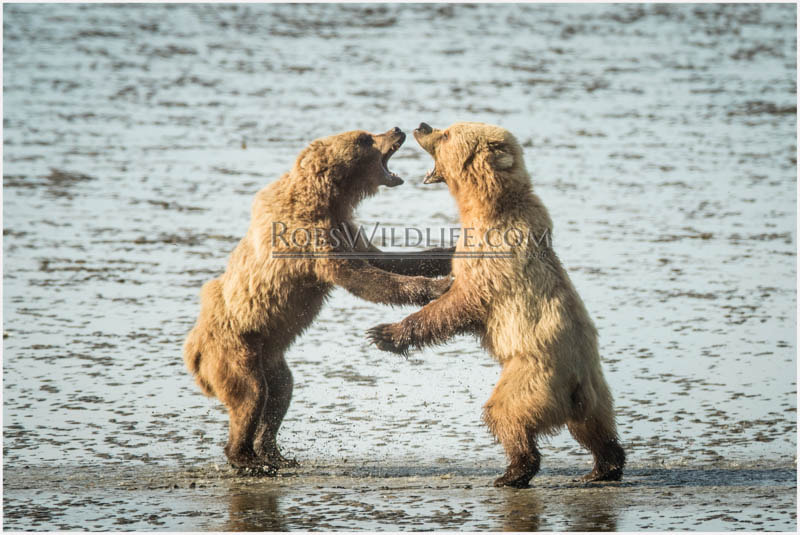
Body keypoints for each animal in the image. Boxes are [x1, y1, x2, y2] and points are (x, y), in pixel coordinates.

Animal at [184, 127, 454, 472]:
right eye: (365, 138)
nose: (397, 129)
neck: (328, 197)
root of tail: (192, 351)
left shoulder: (343, 227)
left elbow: (387, 259)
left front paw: (450, 251)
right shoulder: (308, 235)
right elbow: (362, 278)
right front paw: (437, 288)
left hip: (268, 355)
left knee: (281, 390)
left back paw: (275, 454)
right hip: (234, 350)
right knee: (251, 395)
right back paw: (245, 458)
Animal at [368, 122, 624, 490]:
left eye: (447, 133)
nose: (422, 125)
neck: (487, 205)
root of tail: (577, 380)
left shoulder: (495, 260)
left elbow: (457, 304)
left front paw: (384, 334)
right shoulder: (471, 240)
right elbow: (441, 254)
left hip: (531, 377)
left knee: (506, 415)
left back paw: (513, 472)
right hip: (595, 396)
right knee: (597, 430)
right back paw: (602, 468)